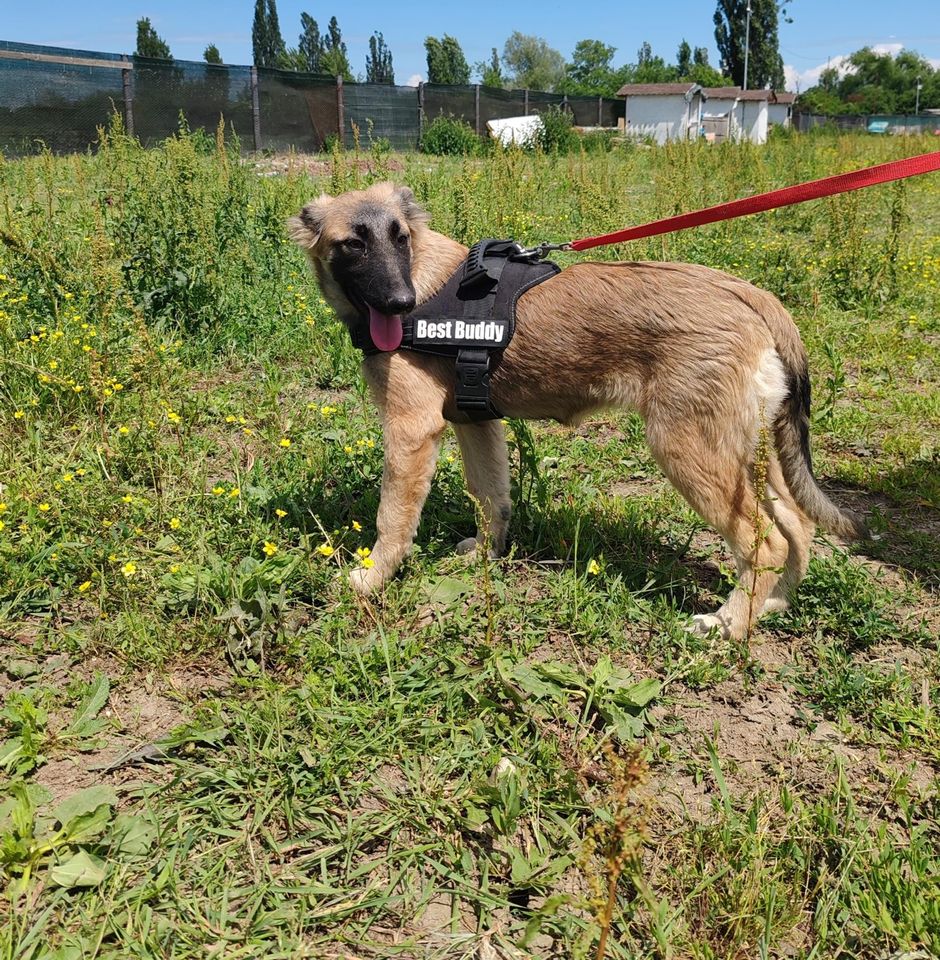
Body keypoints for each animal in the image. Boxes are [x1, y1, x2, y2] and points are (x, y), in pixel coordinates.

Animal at [288, 184, 868, 640]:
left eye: (400, 237)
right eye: (353, 244)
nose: (401, 303)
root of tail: (748, 294)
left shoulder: (411, 431)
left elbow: (392, 520)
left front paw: (368, 580)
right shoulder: (477, 422)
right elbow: (491, 498)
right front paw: (486, 557)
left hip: (691, 451)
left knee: (765, 545)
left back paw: (729, 625)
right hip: (749, 451)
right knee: (797, 528)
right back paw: (773, 605)